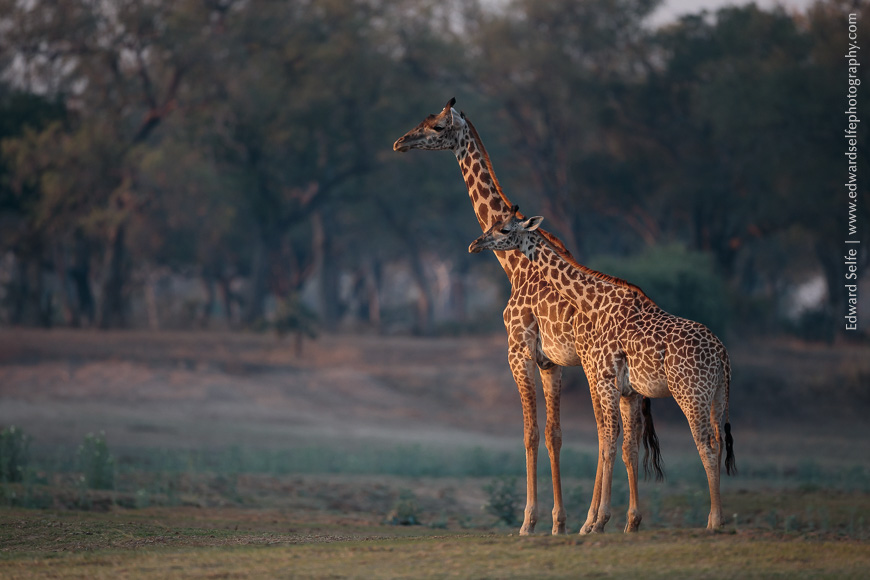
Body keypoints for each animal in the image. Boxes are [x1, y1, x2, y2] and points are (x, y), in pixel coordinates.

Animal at [393, 98, 663, 534]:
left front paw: (529, 521)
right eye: (424, 120)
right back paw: (628, 522)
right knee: (627, 437)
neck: (513, 265)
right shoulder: (551, 362)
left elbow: (530, 433)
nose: (400, 142)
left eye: (436, 126)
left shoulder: (518, 351)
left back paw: (599, 520)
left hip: (600, 372)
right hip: (629, 383)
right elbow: (554, 434)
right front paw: (559, 522)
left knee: (608, 433)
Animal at [469, 207, 737, 531]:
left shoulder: (605, 378)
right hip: (718, 395)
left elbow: (608, 442)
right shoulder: (620, 386)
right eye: (493, 224)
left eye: (505, 229)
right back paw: (717, 519)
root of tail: (722, 354)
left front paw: (598, 522)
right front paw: (609, 521)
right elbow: (619, 445)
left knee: (706, 446)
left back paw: (714, 522)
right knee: (719, 442)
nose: (475, 244)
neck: (594, 303)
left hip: (690, 393)